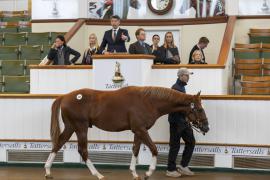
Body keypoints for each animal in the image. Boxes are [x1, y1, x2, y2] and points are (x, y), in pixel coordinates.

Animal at [43, 86, 209, 179]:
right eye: (200, 109)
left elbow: (135, 150)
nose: (206, 127)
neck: (148, 101)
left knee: (58, 143)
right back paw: (98, 175)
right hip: (81, 128)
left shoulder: (138, 131)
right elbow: (154, 149)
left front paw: (135, 173)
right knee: (82, 150)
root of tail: (64, 96)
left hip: (71, 127)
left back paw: (48, 171)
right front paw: (148, 173)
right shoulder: (141, 130)